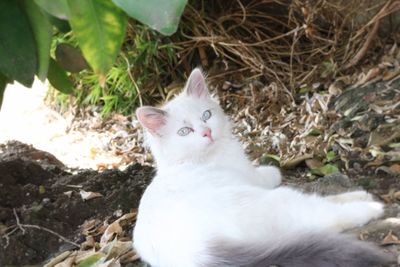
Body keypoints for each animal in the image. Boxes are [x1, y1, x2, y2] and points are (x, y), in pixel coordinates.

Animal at [133, 69, 390, 267]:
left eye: (206, 115)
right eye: (184, 131)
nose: (207, 132)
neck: (194, 159)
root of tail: (197, 253)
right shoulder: (250, 177)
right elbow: (267, 175)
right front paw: (273, 171)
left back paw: (362, 195)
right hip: (270, 201)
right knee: (324, 216)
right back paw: (372, 207)